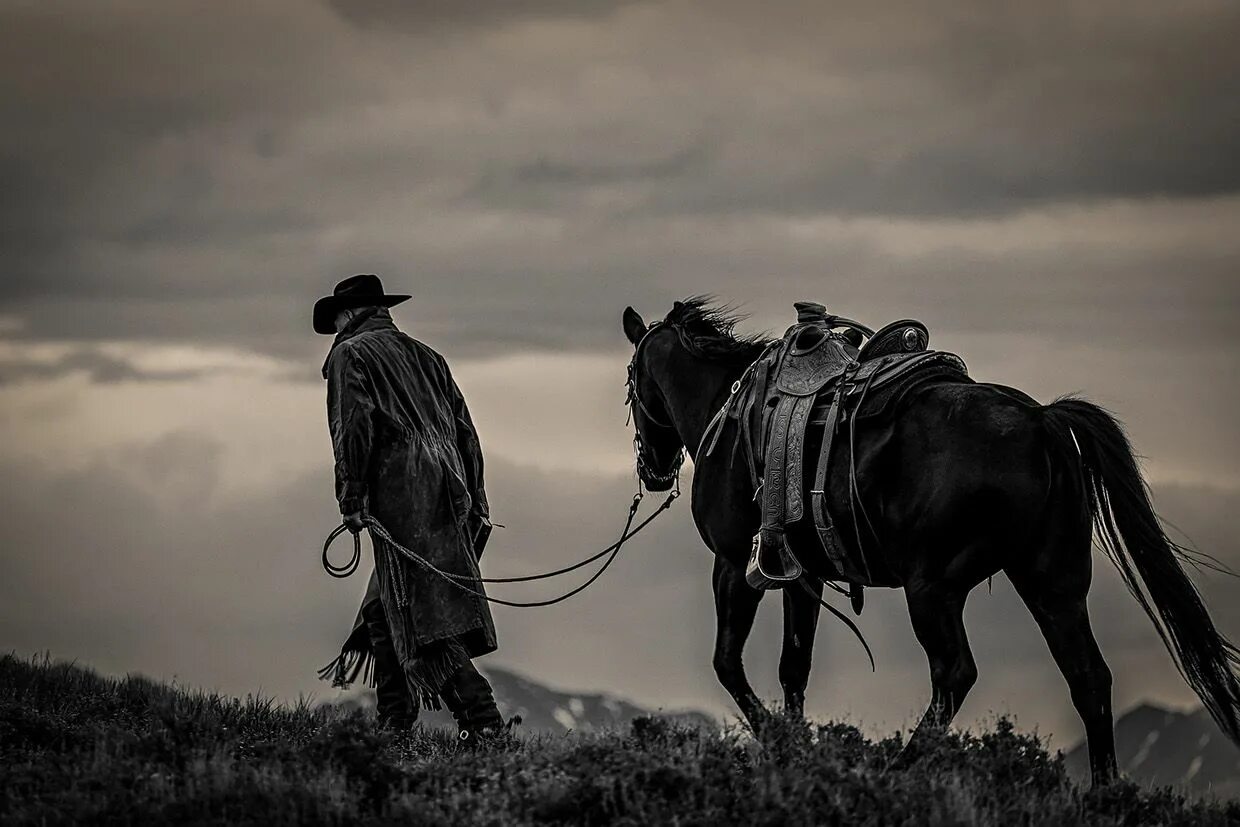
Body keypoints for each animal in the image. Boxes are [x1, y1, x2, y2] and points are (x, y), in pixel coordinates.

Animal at [624, 296, 1240, 783]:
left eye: (630, 386)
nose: (652, 470)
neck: (729, 414)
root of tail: (1042, 421)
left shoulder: (734, 565)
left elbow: (728, 663)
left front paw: (779, 745)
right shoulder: (802, 575)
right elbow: (793, 667)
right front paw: (797, 752)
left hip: (934, 589)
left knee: (955, 673)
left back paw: (899, 771)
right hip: (1053, 584)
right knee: (1088, 676)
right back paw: (1104, 794)